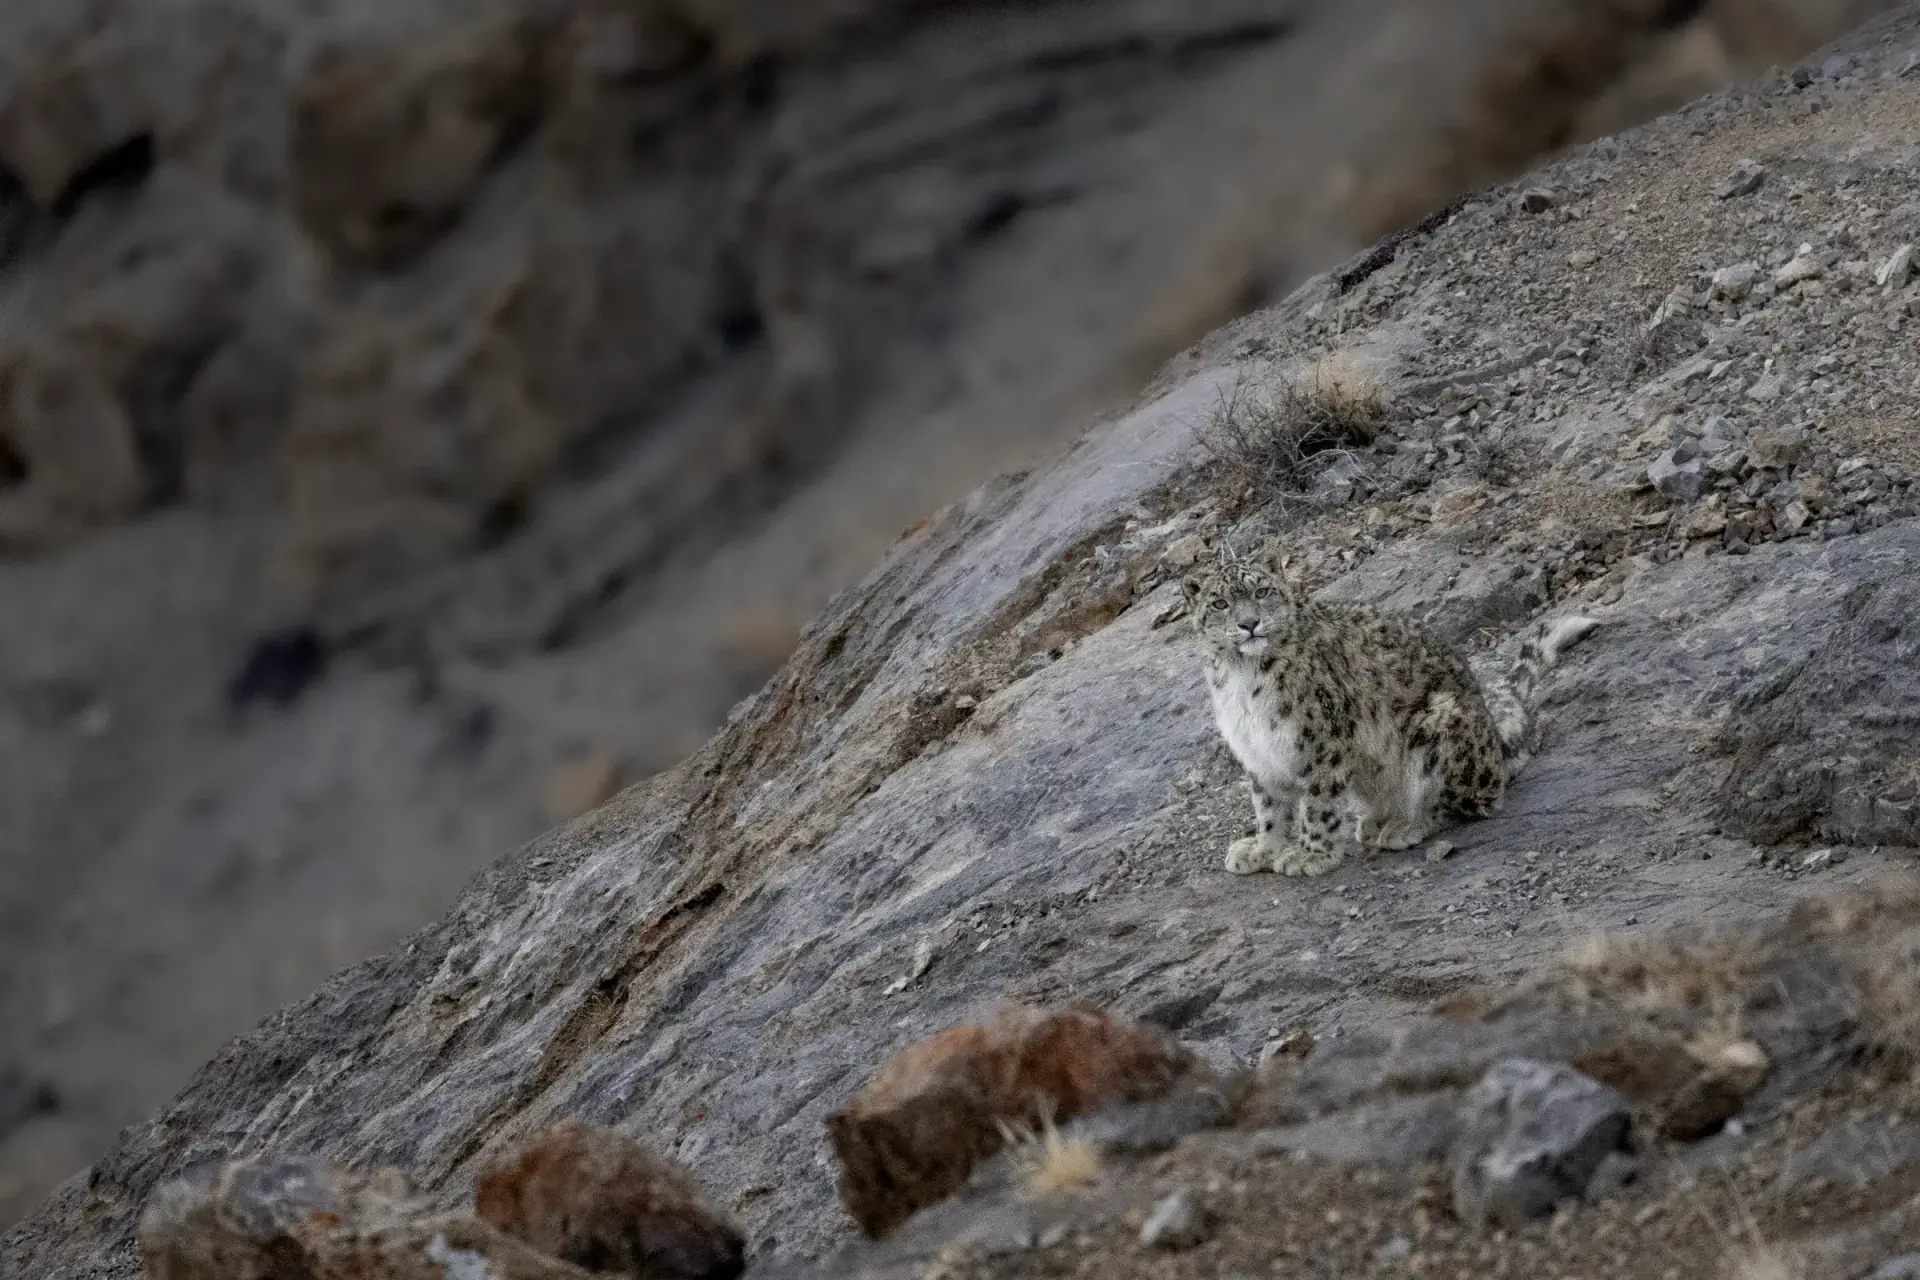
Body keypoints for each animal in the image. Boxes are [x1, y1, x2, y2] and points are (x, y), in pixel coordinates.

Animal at [1179, 543, 1598, 877]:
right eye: (1220, 603)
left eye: (1262, 591)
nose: (1249, 623)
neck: (1241, 676)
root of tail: (1495, 741)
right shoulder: (1257, 751)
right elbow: (1268, 808)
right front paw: (1261, 850)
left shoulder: (1322, 743)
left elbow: (1317, 804)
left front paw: (1312, 855)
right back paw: (1378, 820)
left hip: (1438, 726)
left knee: (1473, 800)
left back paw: (1405, 826)